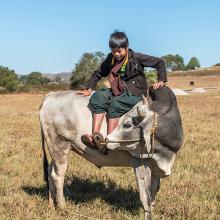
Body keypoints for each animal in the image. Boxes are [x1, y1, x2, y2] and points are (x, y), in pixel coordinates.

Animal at [39, 86, 184, 220]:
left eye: (127, 124)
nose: (107, 139)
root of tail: (50, 96)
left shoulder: (156, 167)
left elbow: (153, 193)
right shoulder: (140, 162)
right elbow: (145, 197)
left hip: (55, 150)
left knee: (50, 173)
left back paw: (51, 204)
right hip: (59, 147)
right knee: (58, 176)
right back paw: (62, 207)